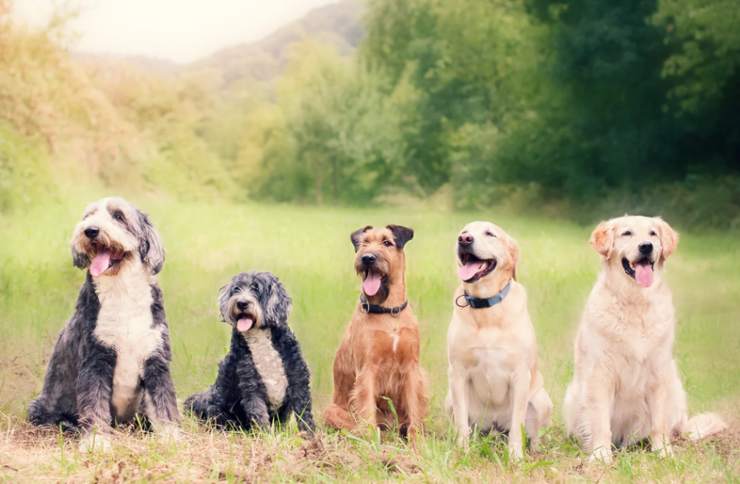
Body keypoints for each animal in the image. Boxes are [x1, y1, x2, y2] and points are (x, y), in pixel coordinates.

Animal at [27, 196, 179, 450]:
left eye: (119, 216)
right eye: (88, 216)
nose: (90, 230)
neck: (122, 291)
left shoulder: (155, 359)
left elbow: (164, 403)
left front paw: (171, 437)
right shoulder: (95, 359)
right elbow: (94, 405)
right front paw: (96, 442)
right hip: (41, 406)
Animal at [184, 270, 316, 432]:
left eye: (256, 289)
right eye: (236, 289)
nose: (242, 303)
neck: (260, 337)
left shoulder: (298, 379)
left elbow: (304, 414)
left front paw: (310, 436)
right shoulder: (251, 385)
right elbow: (259, 415)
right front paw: (265, 436)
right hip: (217, 409)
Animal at [322, 223, 428, 438]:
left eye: (387, 242)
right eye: (364, 242)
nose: (367, 258)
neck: (389, 312)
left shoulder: (412, 368)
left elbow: (414, 412)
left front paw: (417, 442)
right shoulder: (367, 369)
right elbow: (367, 412)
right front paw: (372, 441)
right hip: (331, 410)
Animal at [446, 221, 548, 460]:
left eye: (490, 233)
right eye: (464, 231)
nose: (464, 239)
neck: (486, 308)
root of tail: (493, 429)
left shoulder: (520, 375)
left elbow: (517, 426)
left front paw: (515, 457)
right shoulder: (458, 372)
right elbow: (462, 423)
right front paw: (462, 452)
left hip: (541, 400)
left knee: (532, 434)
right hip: (449, 400)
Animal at [564, 215, 724, 462]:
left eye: (652, 234)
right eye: (627, 233)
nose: (646, 247)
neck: (634, 301)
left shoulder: (658, 372)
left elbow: (659, 424)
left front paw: (663, 452)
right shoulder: (600, 374)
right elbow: (600, 422)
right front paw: (601, 455)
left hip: (675, 388)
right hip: (573, 395)